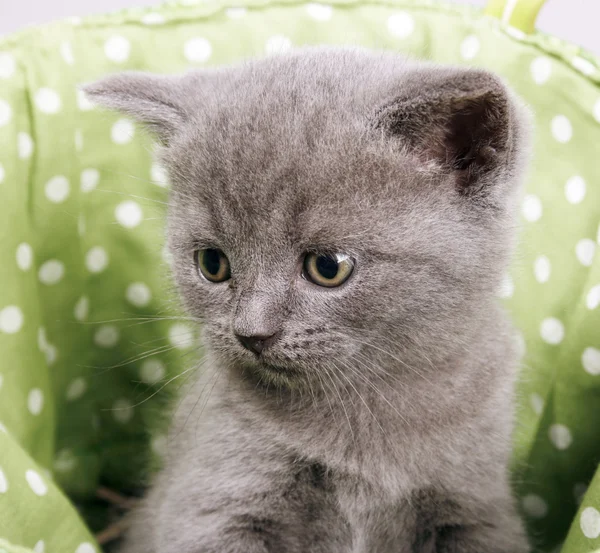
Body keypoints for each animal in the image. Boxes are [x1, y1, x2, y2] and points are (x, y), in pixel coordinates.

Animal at [88, 48, 528, 552]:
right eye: (212, 263)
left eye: (328, 267)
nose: (251, 333)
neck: (362, 407)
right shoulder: (212, 501)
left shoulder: (475, 505)